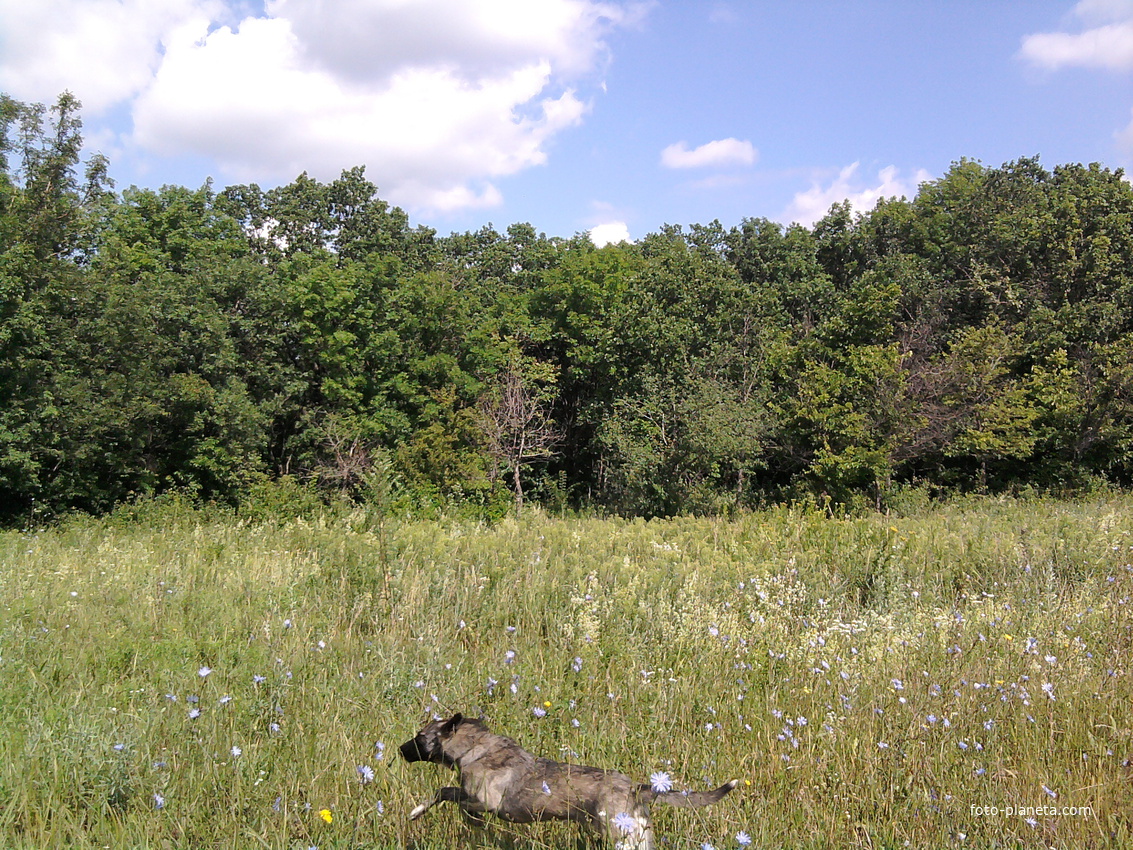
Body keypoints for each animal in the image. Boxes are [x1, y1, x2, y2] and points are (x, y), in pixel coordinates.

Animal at [403, 716, 738, 847]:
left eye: (419, 737)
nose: (400, 750)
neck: (474, 749)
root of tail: (634, 787)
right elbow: (445, 792)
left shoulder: (486, 802)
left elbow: (449, 794)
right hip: (636, 837)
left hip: (617, 835)